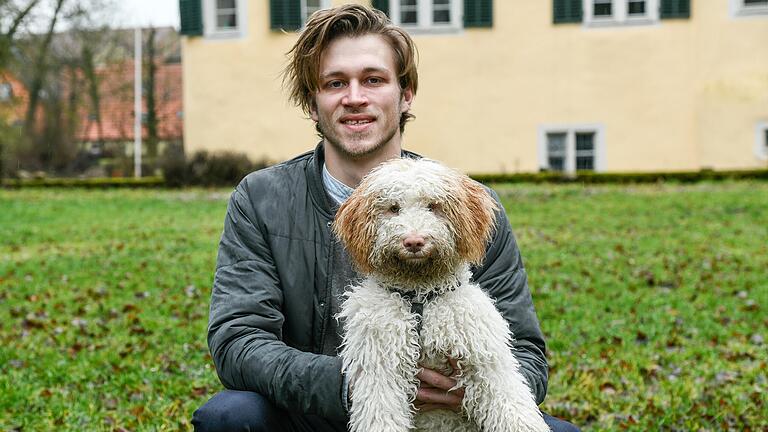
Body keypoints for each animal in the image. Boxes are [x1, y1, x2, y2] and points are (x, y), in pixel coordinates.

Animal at [332, 159, 548, 432]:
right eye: (393, 208)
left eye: (433, 206)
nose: (414, 242)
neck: (419, 298)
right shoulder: (381, 366)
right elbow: (381, 414)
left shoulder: (485, 357)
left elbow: (511, 404)